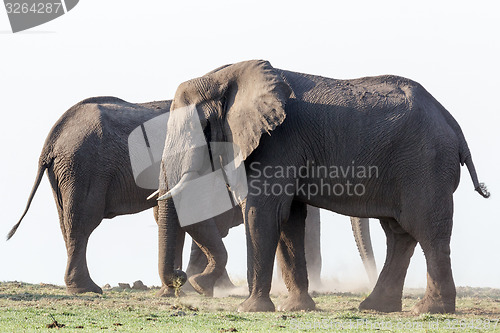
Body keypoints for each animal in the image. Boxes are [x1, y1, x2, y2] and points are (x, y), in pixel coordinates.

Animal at [7, 95, 376, 294]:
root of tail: (52, 138)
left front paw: (204, 285)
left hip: (69, 171)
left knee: (69, 223)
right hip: (82, 166)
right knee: (82, 223)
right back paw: (89, 289)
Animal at [157, 60, 488, 314]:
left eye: (200, 128)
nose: (184, 279)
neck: (228, 76)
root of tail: (453, 124)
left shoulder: (277, 143)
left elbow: (262, 213)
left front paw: (250, 309)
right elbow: (288, 219)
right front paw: (295, 308)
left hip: (426, 164)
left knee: (426, 229)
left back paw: (428, 310)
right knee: (399, 233)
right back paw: (376, 307)